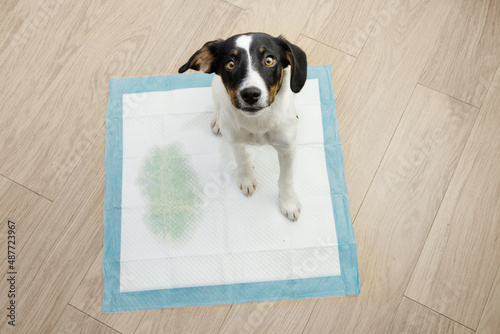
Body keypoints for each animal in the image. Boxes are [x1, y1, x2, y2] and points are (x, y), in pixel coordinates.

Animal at [178, 32, 306, 222]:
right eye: (230, 64)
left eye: (269, 60)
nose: (250, 94)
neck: (258, 122)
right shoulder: (235, 139)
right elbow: (242, 157)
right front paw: (246, 179)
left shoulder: (287, 147)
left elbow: (286, 177)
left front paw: (288, 202)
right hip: (216, 88)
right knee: (217, 105)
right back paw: (217, 121)